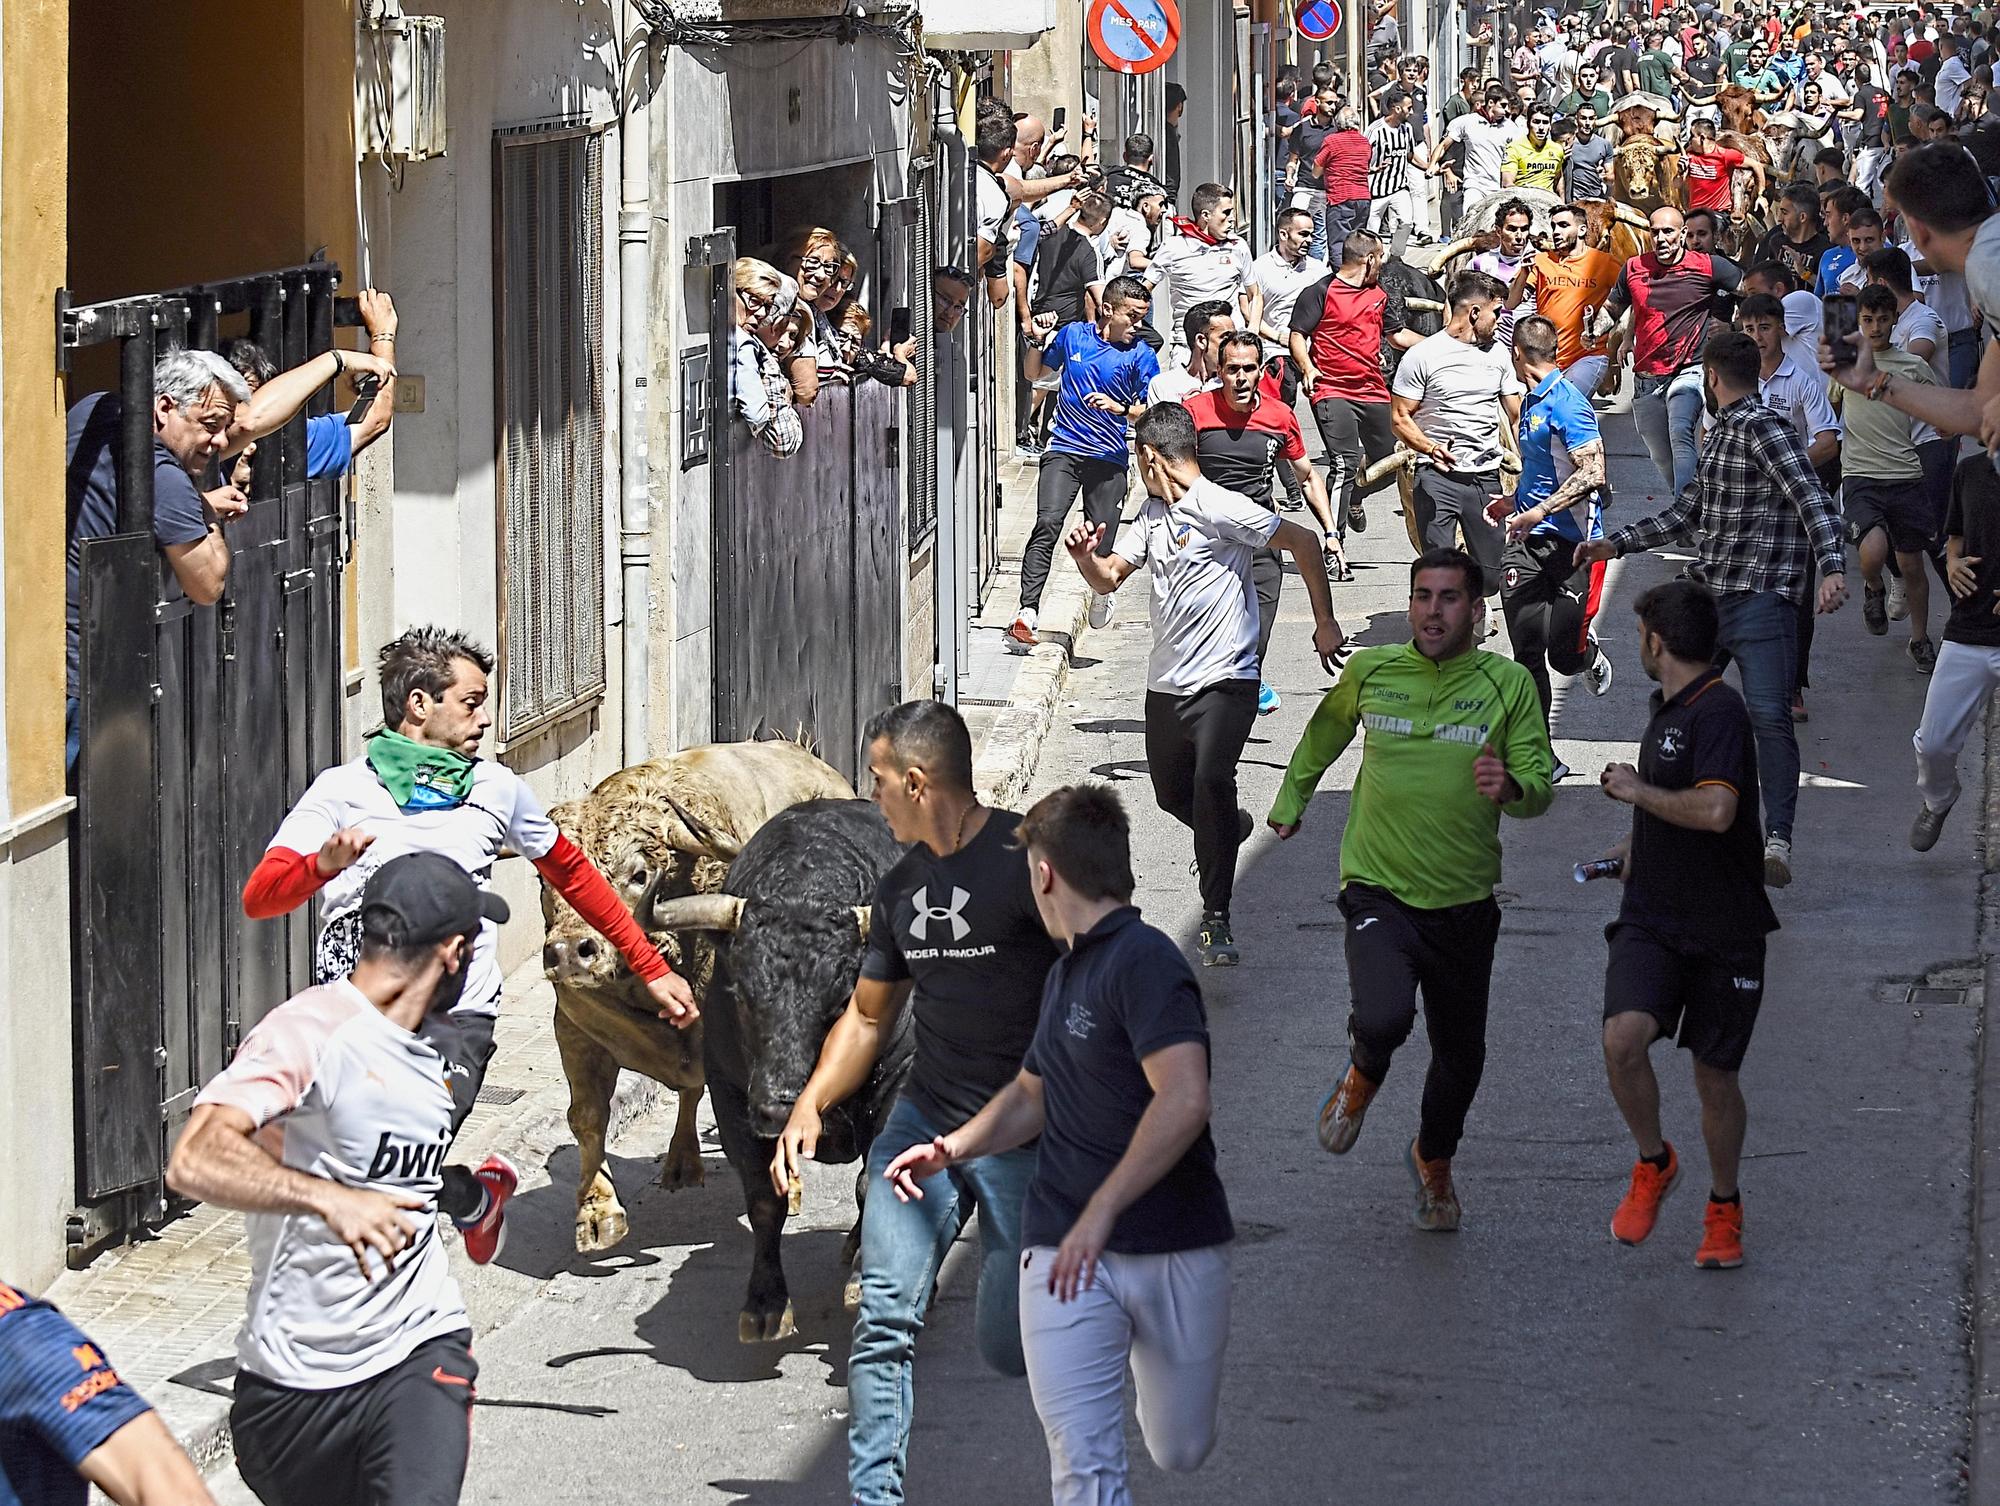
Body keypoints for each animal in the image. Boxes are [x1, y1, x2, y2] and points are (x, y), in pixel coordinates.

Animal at [656, 800, 916, 1336]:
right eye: (741, 995)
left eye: (844, 1000)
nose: (780, 1110)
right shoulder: (730, 1094)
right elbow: (763, 1199)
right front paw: (765, 1303)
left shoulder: (903, 1077)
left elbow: (874, 1181)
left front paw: (863, 1278)